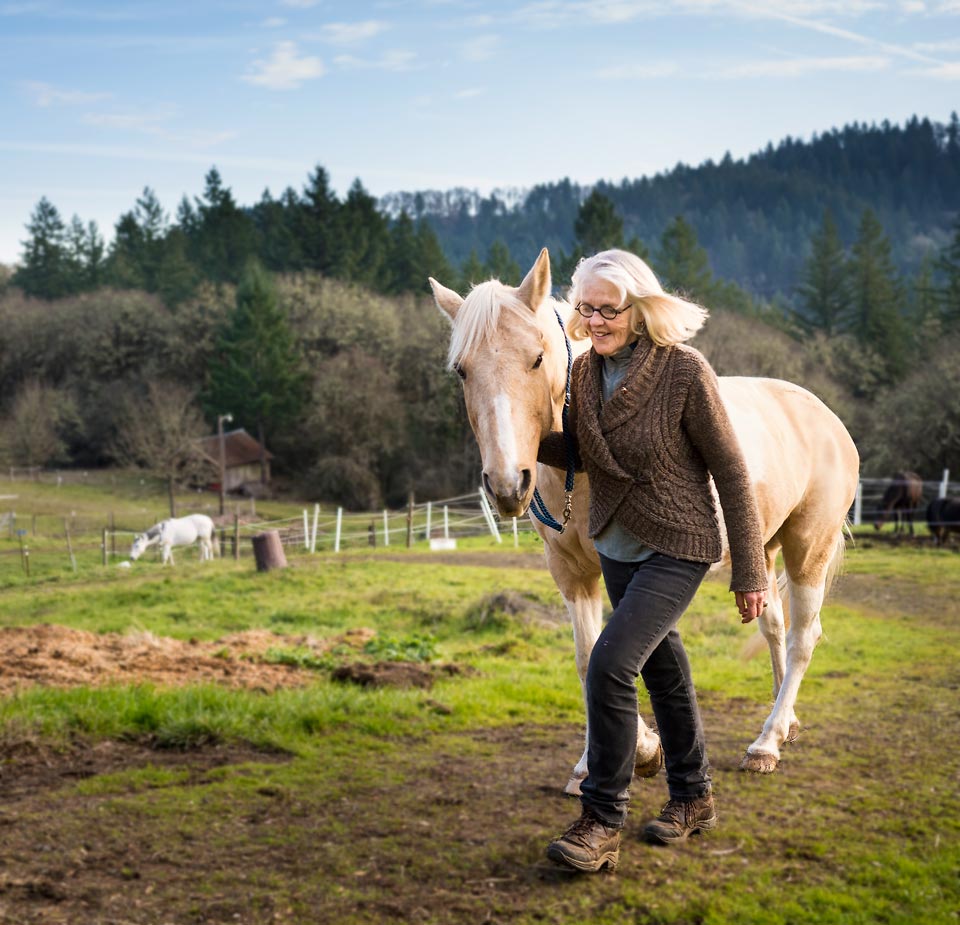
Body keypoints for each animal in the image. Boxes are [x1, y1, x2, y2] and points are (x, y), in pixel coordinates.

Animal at [429, 248, 861, 791]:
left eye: (536, 358)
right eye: (462, 371)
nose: (508, 484)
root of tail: (824, 415)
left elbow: (609, 654)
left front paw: (643, 749)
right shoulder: (572, 572)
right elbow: (587, 655)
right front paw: (598, 761)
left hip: (808, 549)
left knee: (804, 636)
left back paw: (766, 744)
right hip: (758, 549)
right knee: (775, 627)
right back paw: (783, 727)